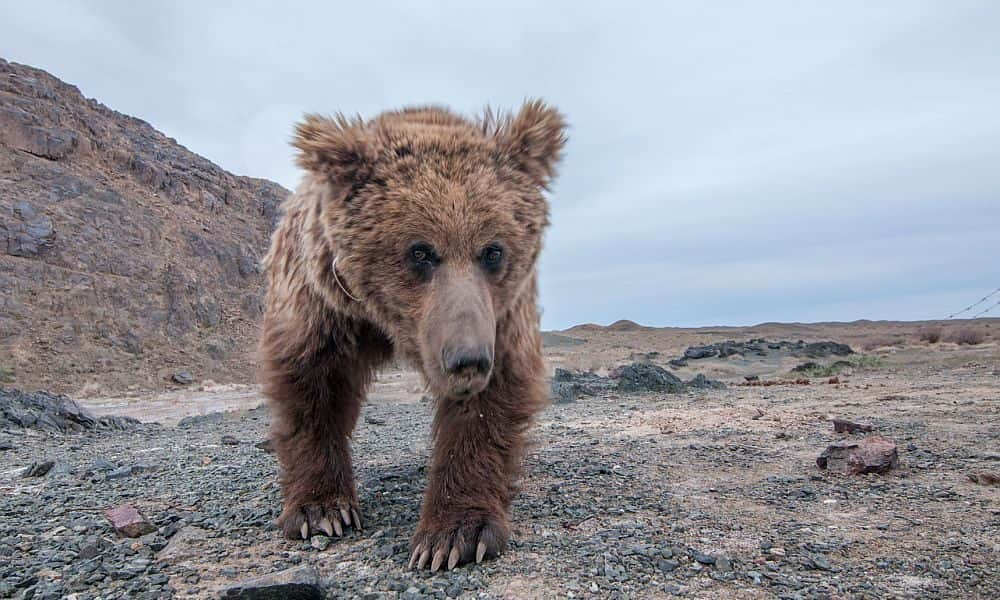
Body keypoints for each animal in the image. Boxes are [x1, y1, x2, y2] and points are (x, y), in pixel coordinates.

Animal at [258, 102, 568, 572]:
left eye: (493, 250)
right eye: (420, 251)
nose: (467, 359)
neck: (384, 321)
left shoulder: (501, 313)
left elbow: (491, 399)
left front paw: (453, 535)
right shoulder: (321, 302)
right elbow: (310, 385)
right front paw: (322, 510)